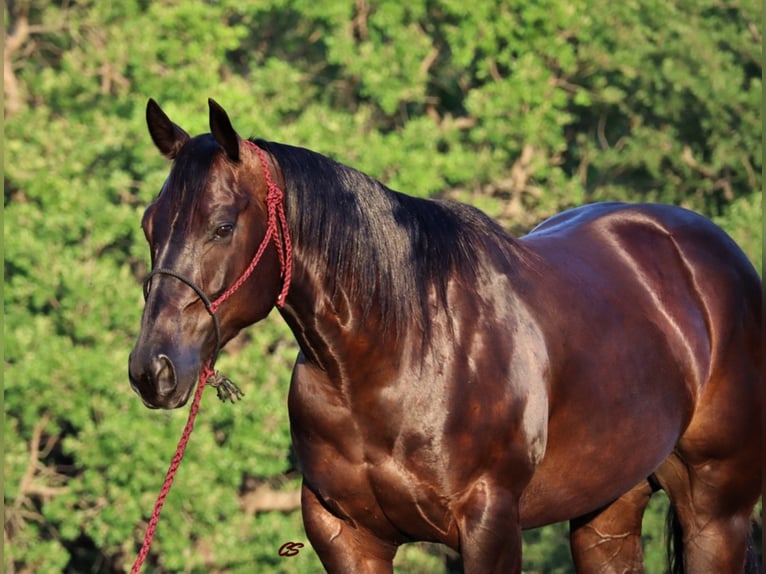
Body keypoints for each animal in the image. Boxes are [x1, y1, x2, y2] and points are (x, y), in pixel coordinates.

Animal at [129, 101, 764, 572]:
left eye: (222, 226)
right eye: (149, 225)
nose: (152, 370)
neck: (395, 355)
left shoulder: (490, 527)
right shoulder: (346, 535)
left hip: (716, 513)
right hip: (608, 509)